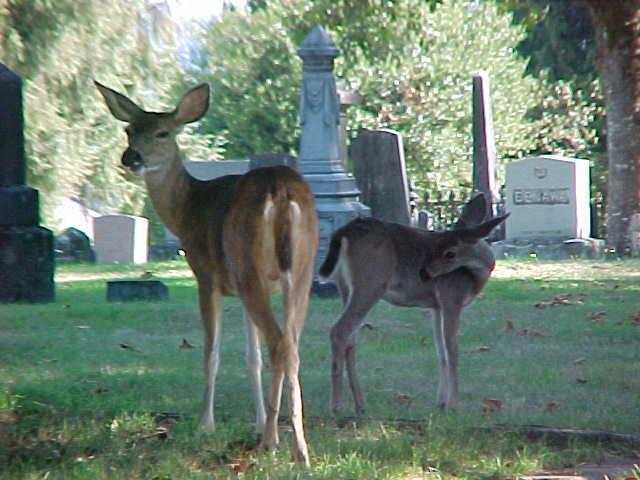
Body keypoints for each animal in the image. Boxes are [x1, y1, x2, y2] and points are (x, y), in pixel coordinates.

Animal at [95, 81, 318, 466]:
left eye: (163, 132)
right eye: (128, 130)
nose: (131, 158)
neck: (188, 209)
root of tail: (281, 190)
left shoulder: (206, 276)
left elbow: (210, 355)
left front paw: (205, 425)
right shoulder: (242, 289)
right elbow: (252, 358)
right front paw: (258, 421)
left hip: (249, 267)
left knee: (280, 344)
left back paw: (277, 443)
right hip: (298, 272)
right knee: (290, 345)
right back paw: (294, 445)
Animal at [319, 195, 507, 416]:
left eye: (449, 252)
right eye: (437, 244)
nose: (423, 273)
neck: (474, 277)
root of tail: (343, 232)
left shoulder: (436, 306)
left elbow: (441, 352)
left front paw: (440, 404)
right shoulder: (451, 297)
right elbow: (452, 351)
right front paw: (453, 405)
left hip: (344, 287)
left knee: (350, 339)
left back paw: (360, 405)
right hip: (371, 282)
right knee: (339, 330)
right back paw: (337, 406)